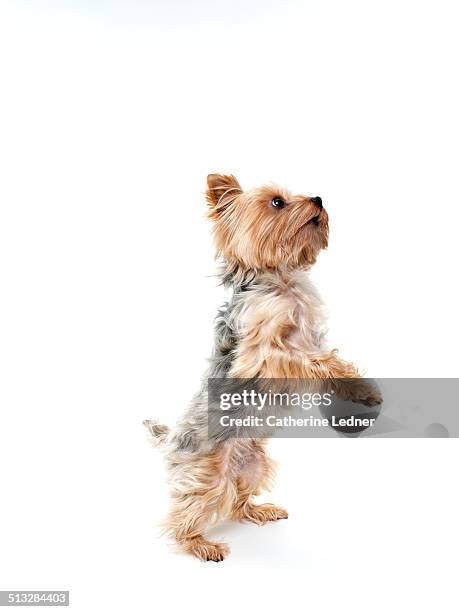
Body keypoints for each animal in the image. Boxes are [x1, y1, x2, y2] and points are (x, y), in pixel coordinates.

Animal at [145, 172, 380, 560]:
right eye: (277, 202)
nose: (318, 198)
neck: (281, 279)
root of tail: (174, 438)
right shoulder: (263, 354)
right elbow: (314, 361)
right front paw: (359, 387)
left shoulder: (312, 339)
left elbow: (330, 358)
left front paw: (360, 388)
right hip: (209, 472)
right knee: (187, 512)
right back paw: (200, 544)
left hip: (253, 463)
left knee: (238, 501)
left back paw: (258, 510)